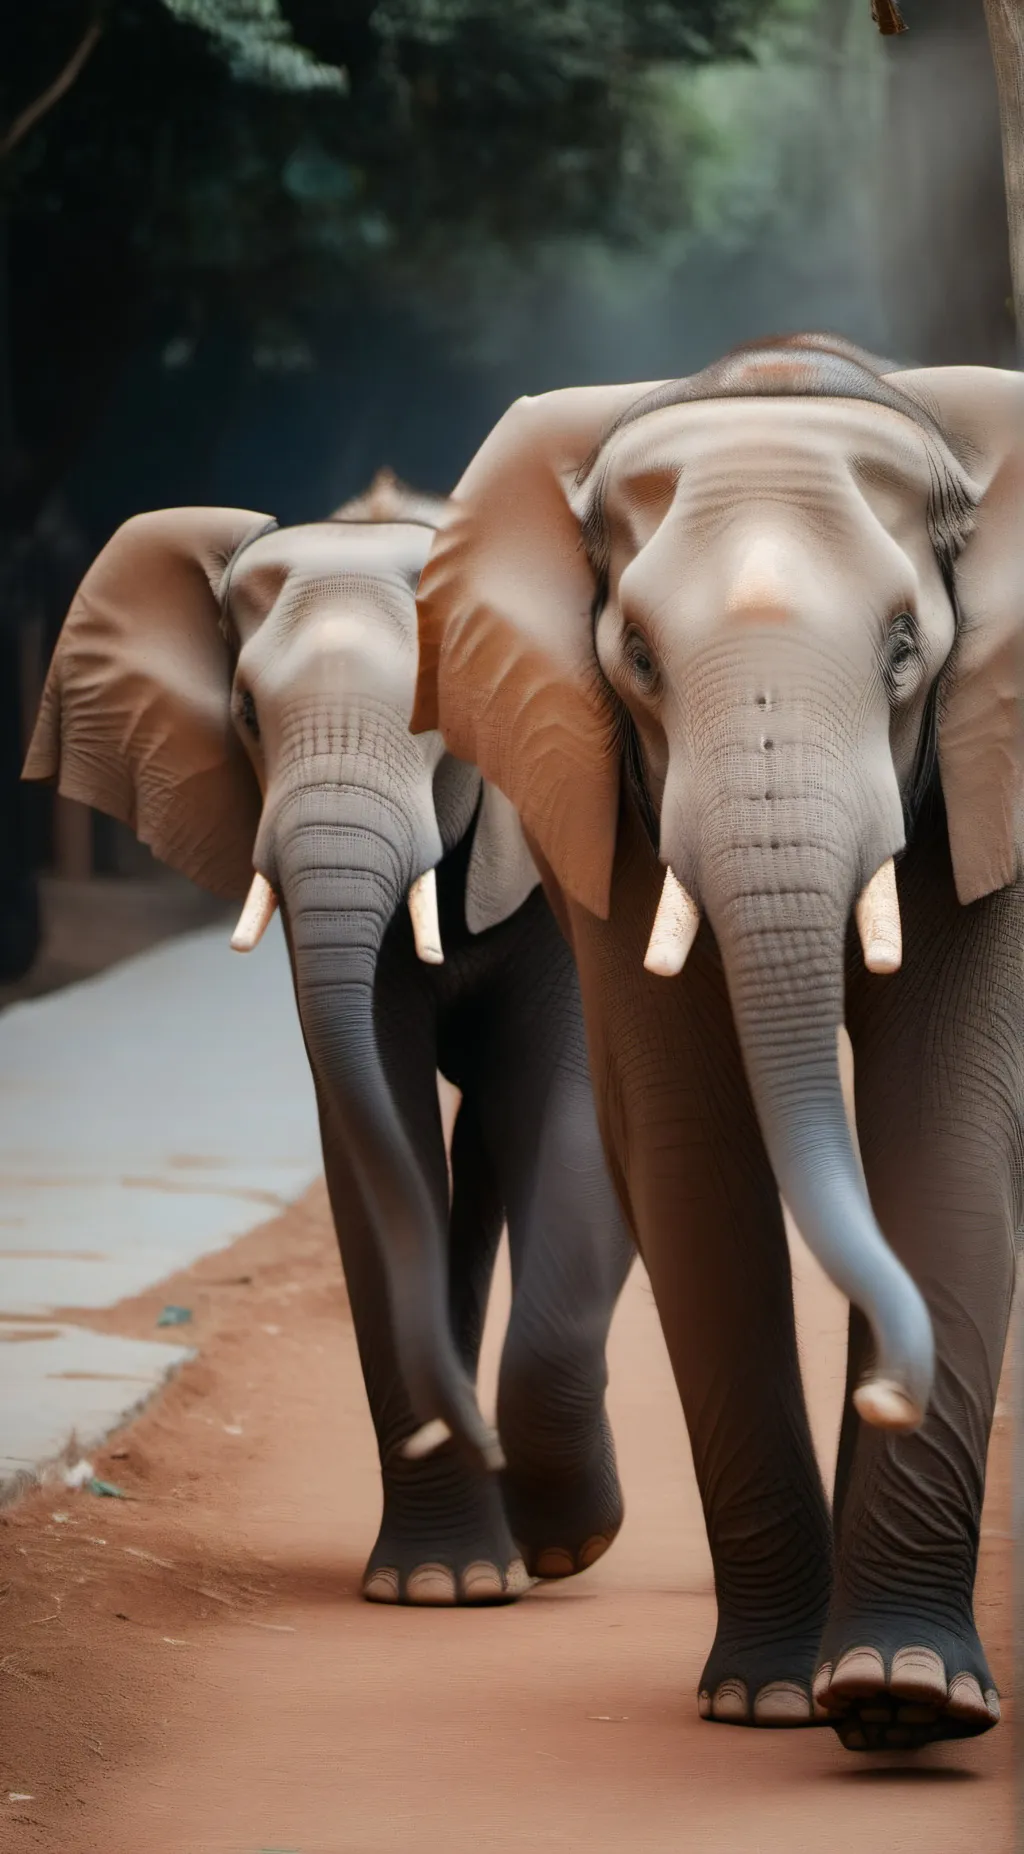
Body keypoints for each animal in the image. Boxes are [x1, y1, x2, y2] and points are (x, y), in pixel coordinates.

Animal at [23, 480, 633, 1604]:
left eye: (441, 715)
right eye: (245, 717)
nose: (469, 1438)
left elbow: (573, 1107)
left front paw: (566, 1545)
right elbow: (375, 1124)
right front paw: (441, 1584)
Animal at [409, 333, 1024, 1745]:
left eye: (905, 650)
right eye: (635, 657)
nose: (894, 1385)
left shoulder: (989, 751)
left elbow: (941, 1124)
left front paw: (907, 1696)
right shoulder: (600, 789)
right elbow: (689, 1149)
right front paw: (768, 1698)